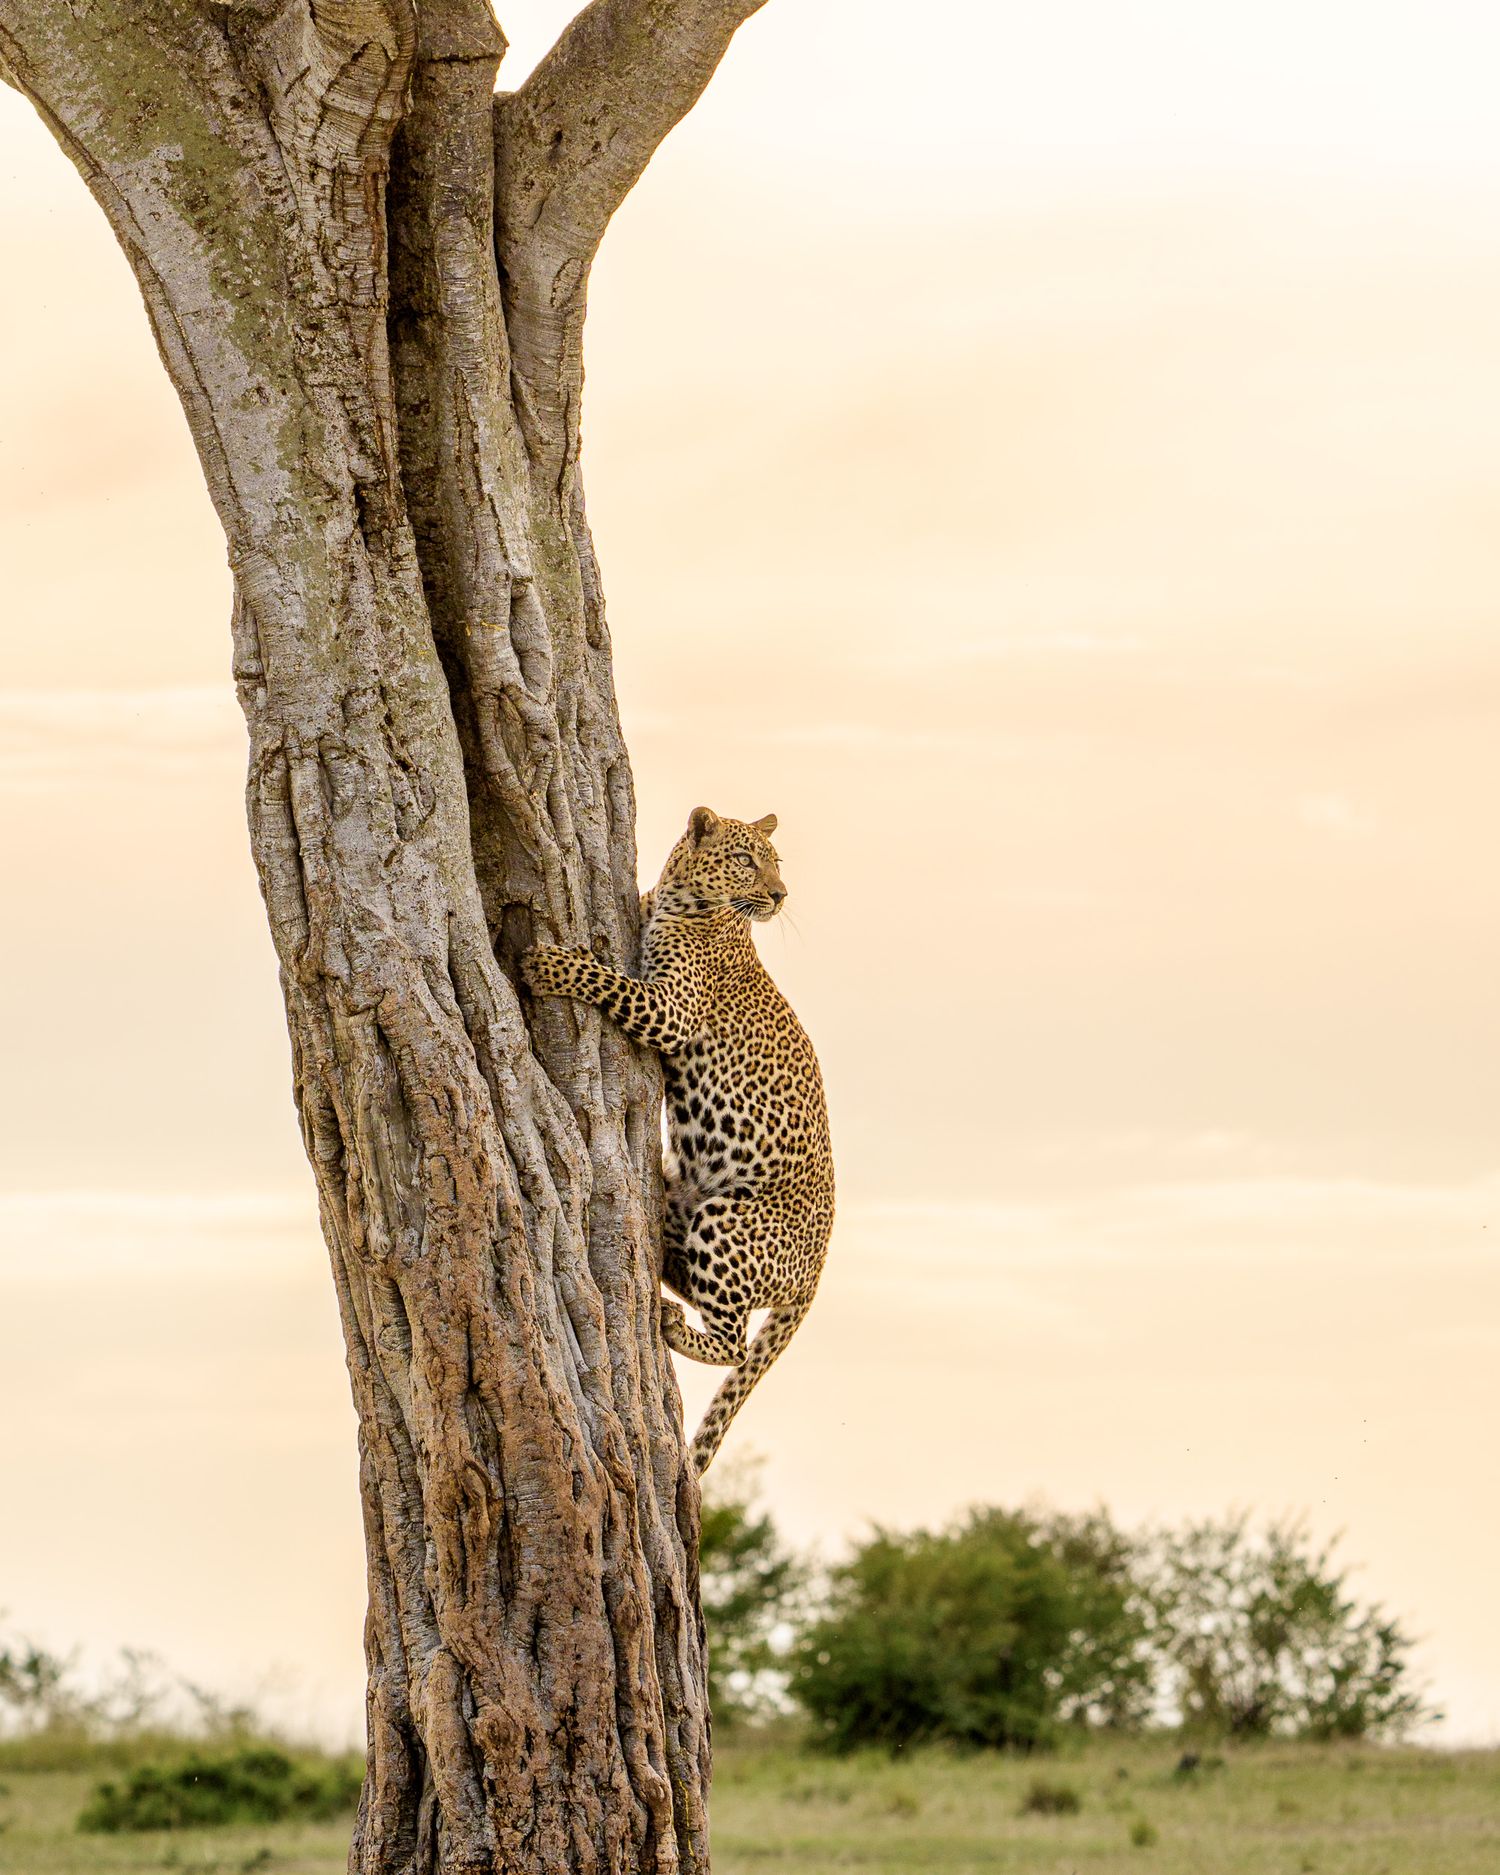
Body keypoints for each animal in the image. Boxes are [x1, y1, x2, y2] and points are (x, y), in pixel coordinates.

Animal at [521, 805, 834, 1474]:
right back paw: (661, 1297)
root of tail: (818, 1271)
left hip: (728, 1221)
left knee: (736, 1343)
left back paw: (670, 1329)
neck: (680, 896)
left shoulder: (670, 1011)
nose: (781, 895)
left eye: (775, 863)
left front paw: (548, 965)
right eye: (747, 859)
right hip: (678, 1203)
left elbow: (605, 978)